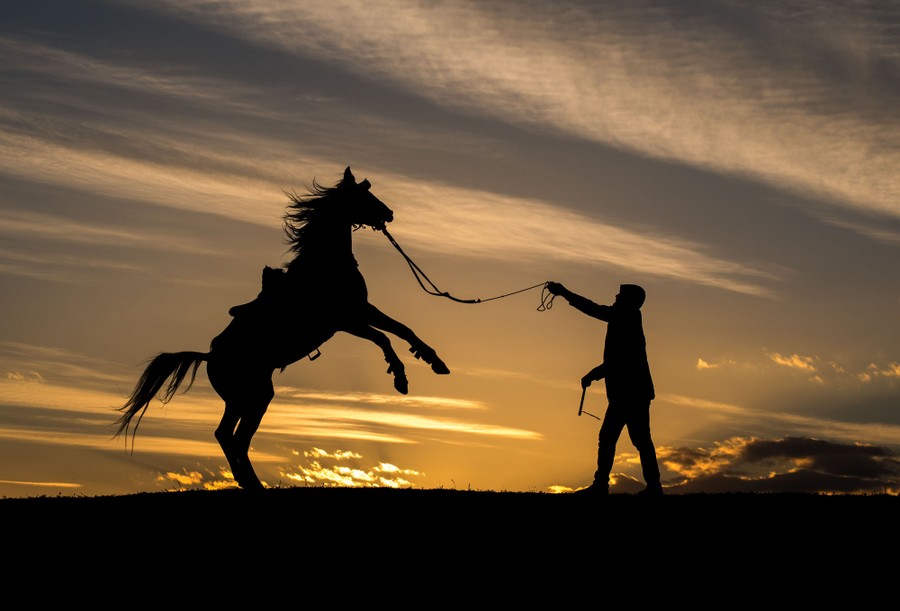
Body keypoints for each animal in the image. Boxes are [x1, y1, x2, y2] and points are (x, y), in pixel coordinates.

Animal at [115, 167, 450, 490]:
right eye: (364, 196)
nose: (389, 213)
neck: (325, 263)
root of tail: (210, 356)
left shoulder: (361, 310)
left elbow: (403, 330)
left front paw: (434, 361)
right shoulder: (345, 319)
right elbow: (384, 338)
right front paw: (400, 376)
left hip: (243, 398)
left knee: (226, 435)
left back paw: (249, 483)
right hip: (253, 396)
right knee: (235, 438)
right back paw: (253, 483)